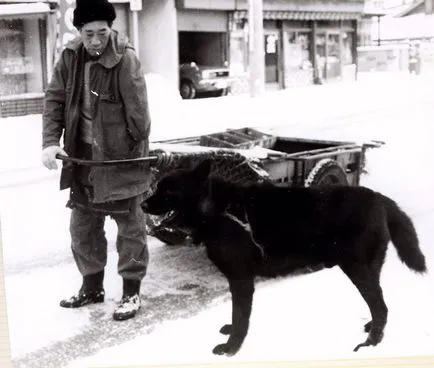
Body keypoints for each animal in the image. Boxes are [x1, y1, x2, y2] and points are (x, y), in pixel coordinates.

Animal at [142, 158, 428, 356]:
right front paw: (231, 334)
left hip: (357, 267)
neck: (217, 209)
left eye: (169, 192)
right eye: (157, 187)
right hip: (368, 267)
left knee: (381, 306)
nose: (143, 204)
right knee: (379, 304)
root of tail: (379, 198)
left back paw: (370, 344)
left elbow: (240, 315)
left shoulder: (241, 278)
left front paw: (232, 347)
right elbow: (236, 315)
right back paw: (372, 329)